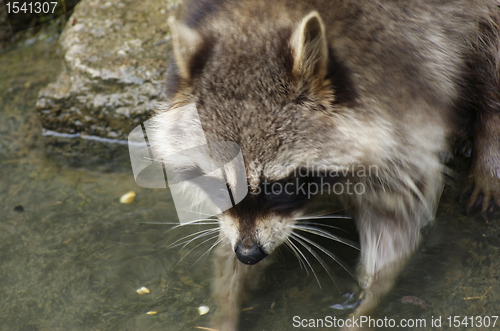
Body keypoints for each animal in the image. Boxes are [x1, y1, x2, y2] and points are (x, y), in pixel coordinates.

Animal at [147, 1, 500, 330]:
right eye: (221, 186)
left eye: (279, 186)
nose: (248, 254)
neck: (261, 15)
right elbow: (229, 233)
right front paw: (226, 304)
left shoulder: (405, 89)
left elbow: (395, 224)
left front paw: (367, 303)